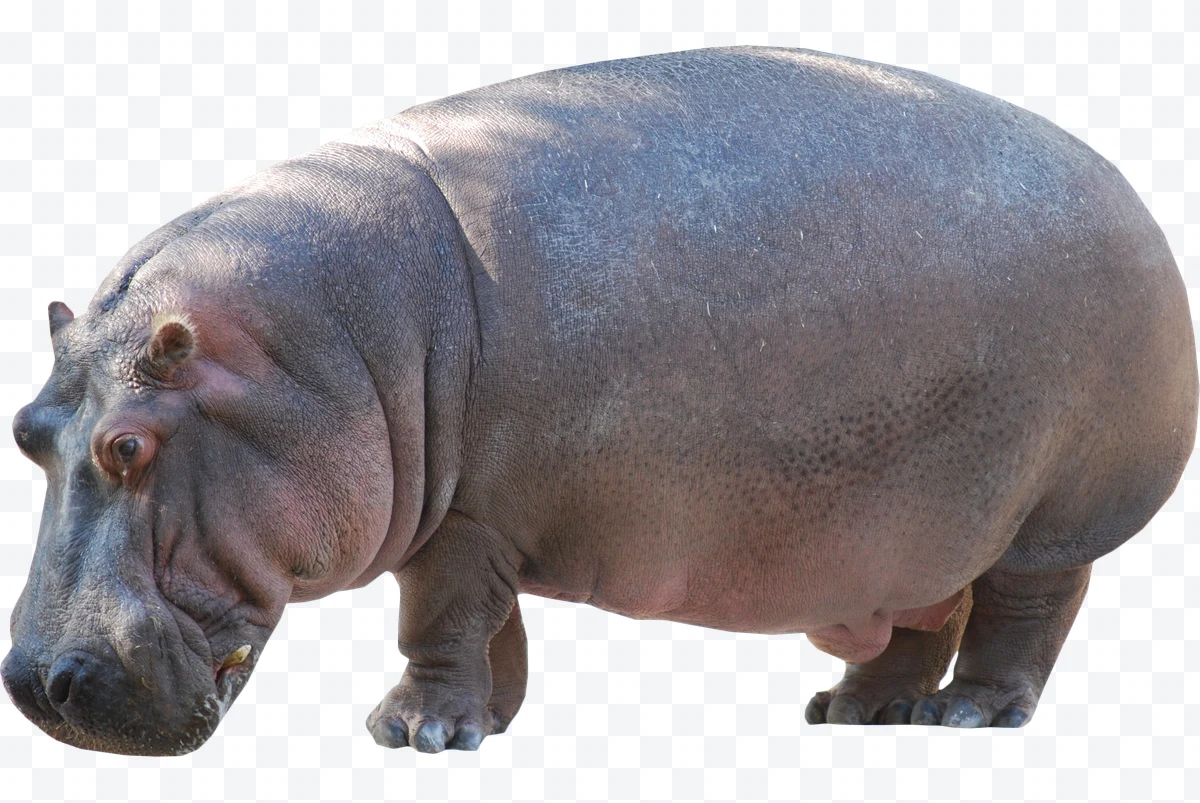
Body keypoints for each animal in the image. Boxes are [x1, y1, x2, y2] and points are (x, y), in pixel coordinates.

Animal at [4, 46, 1196, 755]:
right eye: (26, 432)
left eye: (128, 445)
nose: (35, 682)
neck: (319, 345)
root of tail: (1130, 190)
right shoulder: (479, 513)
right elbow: (489, 627)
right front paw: (478, 726)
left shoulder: (469, 518)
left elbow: (441, 616)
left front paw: (408, 733)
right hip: (916, 525)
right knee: (921, 615)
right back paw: (857, 713)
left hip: (1051, 517)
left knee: (1024, 613)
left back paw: (968, 715)